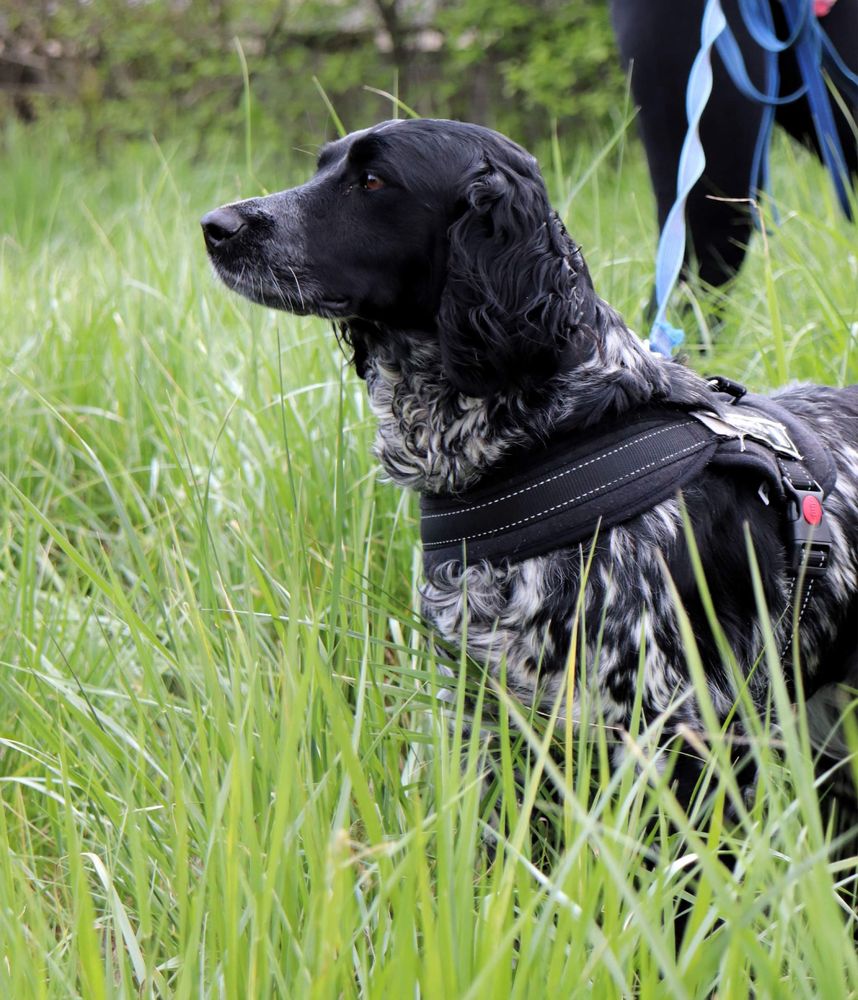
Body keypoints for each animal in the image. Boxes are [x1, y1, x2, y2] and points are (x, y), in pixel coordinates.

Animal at [202, 121, 856, 816]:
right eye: (324, 165)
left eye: (373, 181)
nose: (215, 225)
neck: (554, 432)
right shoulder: (483, 711)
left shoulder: (681, 740)